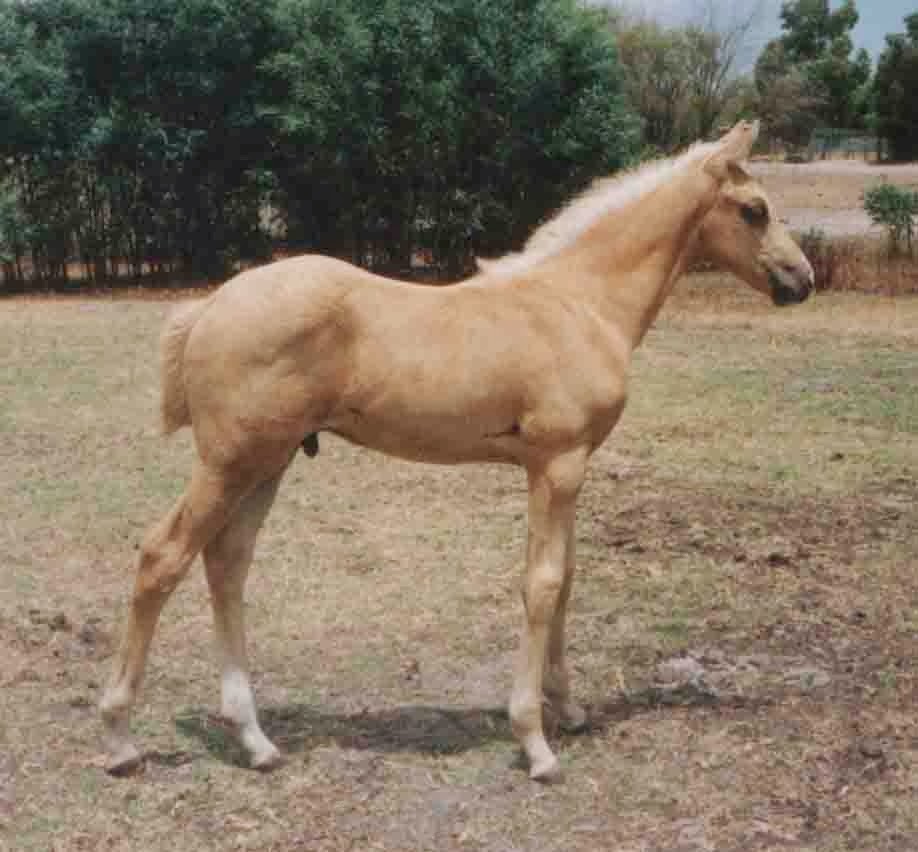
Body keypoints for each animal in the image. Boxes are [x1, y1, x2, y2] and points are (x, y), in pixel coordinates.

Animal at [100, 121, 814, 781]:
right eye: (754, 209)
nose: (801, 279)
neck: (579, 304)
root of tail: (209, 305)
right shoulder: (559, 464)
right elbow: (542, 583)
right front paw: (535, 742)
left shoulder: (560, 468)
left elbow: (566, 578)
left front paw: (570, 709)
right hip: (230, 461)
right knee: (163, 557)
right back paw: (121, 737)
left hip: (268, 461)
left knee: (226, 563)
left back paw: (254, 739)